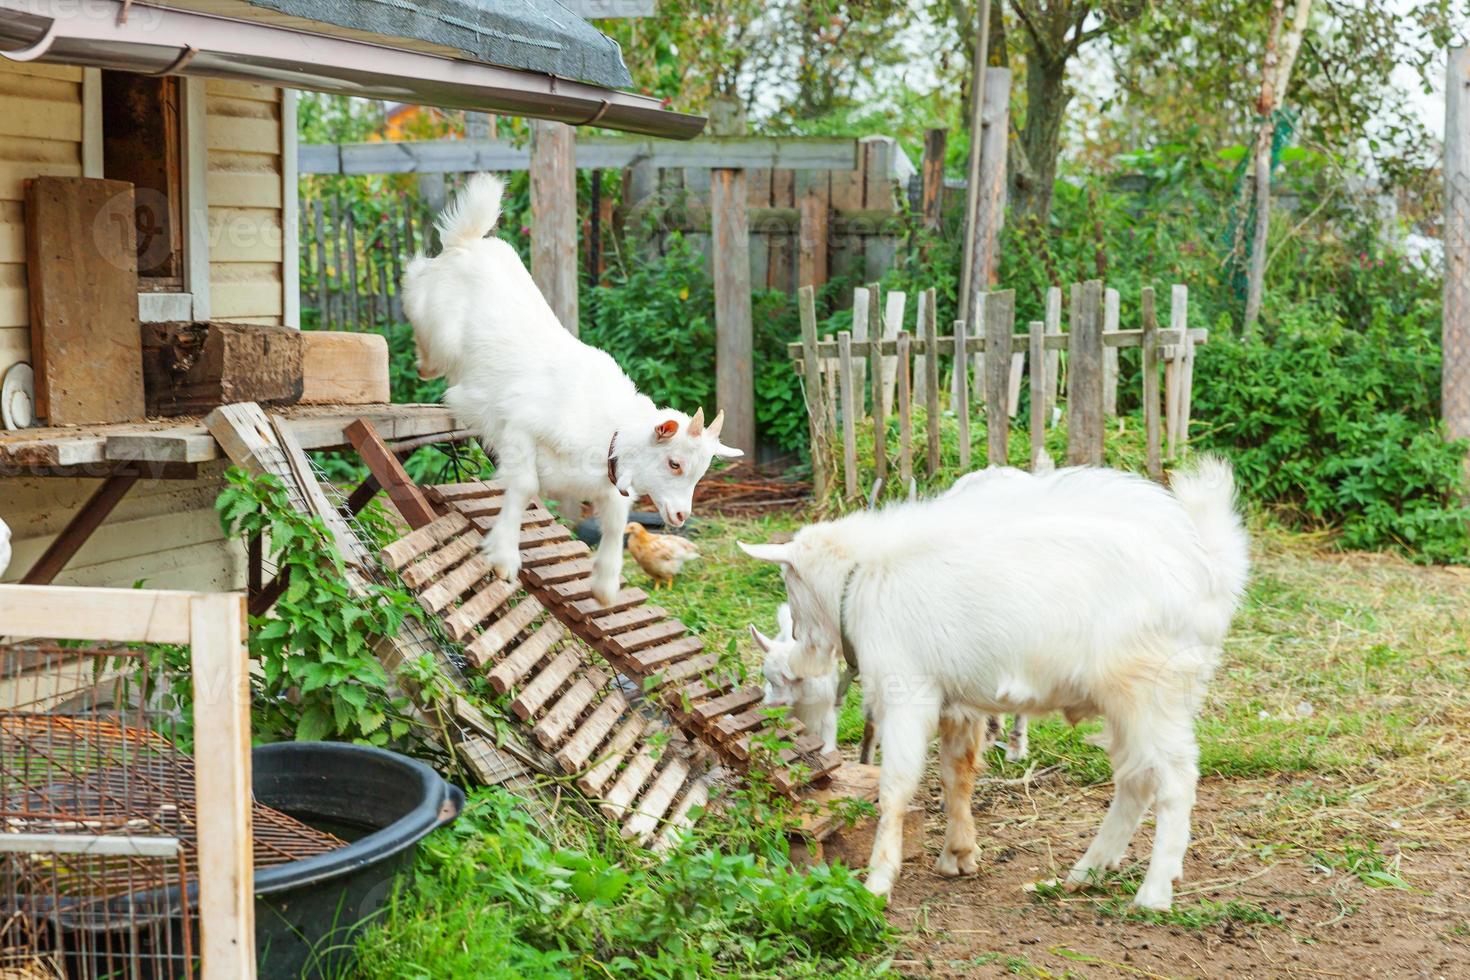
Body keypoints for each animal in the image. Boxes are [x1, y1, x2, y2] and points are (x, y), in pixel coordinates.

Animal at [402, 176, 740, 605]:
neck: (606, 428)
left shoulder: (605, 484)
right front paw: (504, 558)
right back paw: (424, 364)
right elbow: (525, 485)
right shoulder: (518, 428)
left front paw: (605, 586)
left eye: (701, 471)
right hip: (435, 324)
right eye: (674, 463)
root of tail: (468, 241)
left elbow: (614, 520)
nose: (680, 516)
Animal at [740, 461, 1246, 910]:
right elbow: (955, 773)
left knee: (1175, 780)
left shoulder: (908, 692)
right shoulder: (958, 702)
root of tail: (1206, 579)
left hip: (1150, 693)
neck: (863, 576)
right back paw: (1086, 872)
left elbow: (896, 786)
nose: (802, 654)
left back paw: (1154, 891)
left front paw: (879, 879)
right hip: (1127, 704)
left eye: (790, 582)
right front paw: (958, 856)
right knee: (1136, 781)